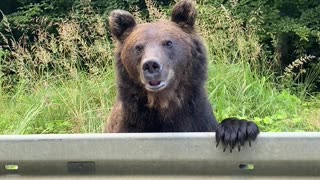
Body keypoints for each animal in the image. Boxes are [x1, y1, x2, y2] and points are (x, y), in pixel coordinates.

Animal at [106, 0, 258, 152]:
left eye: (168, 43)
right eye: (138, 47)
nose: (150, 65)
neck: (164, 104)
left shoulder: (197, 118)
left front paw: (237, 130)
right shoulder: (132, 123)